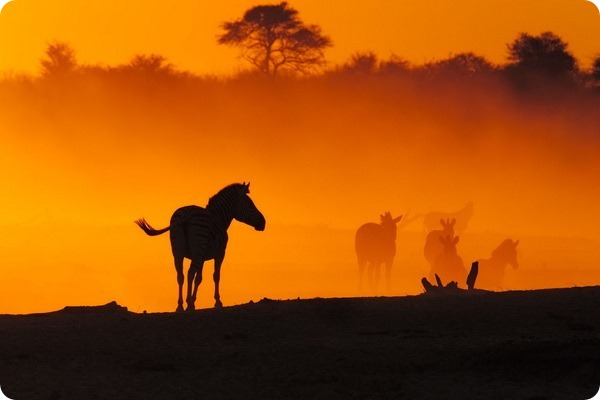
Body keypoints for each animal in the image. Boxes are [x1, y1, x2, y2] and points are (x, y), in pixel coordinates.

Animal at [137, 183, 268, 310]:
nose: (263, 223)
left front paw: (194, 300)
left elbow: (198, 278)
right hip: (198, 248)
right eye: (250, 204)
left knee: (180, 275)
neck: (219, 218)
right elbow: (216, 276)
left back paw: (180, 305)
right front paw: (217, 302)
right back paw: (188, 304)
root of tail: (186, 215)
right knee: (190, 273)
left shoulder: (202, 257)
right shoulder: (219, 253)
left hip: (178, 251)